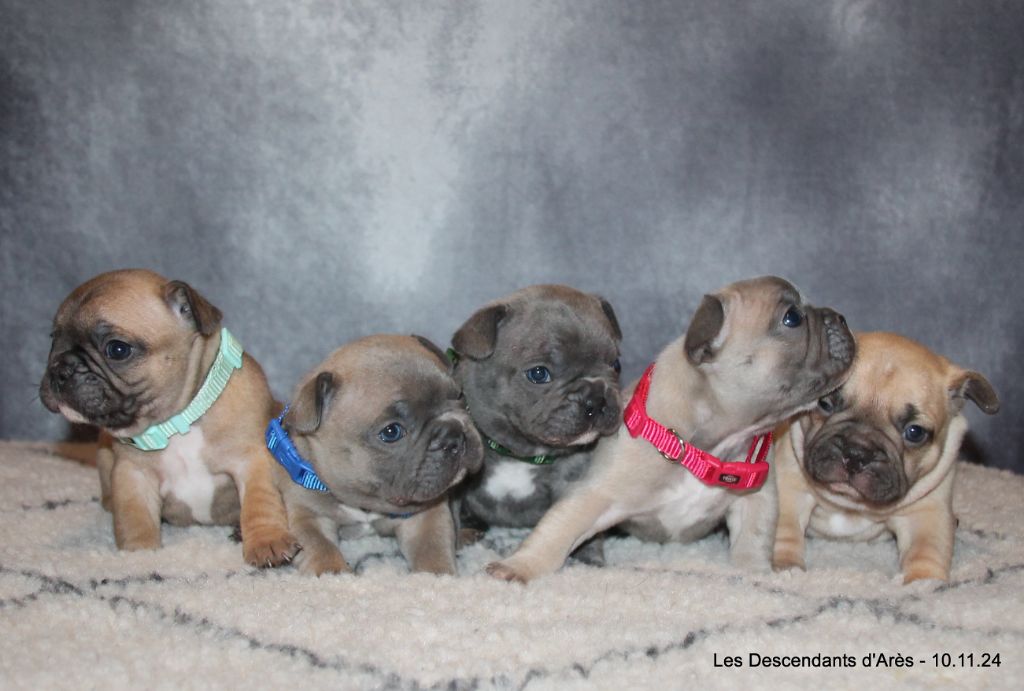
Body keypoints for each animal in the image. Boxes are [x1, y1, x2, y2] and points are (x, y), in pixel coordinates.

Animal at [39, 270, 296, 569]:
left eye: (117, 349)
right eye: (53, 339)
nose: (60, 369)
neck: (178, 420)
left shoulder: (251, 461)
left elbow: (260, 502)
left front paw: (267, 541)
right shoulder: (133, 474)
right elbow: (134, 516)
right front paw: (139, 554)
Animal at [268, 331, 483, 577]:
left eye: (460, 396)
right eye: (391, 432)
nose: (453, 433)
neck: (367, 502)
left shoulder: (427, 516)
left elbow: (432, 549)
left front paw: (436, 576)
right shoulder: (307, 515)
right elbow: (321, 547)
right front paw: (333, 572)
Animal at [487, 276, 856, 585]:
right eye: (792, 318)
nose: (840, 316)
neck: (703, 447)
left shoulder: (756, 497)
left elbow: (754, 537)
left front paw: (756, 573)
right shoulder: (595, 495)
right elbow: (556, 531)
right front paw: (519, 566)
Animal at [770, 331, 995, 581]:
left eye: (915, 432)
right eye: (825, 403)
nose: (856, 453)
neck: (851, 503)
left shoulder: (926, 512)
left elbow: (926, 551)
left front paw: (923, 582)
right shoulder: (790, 490)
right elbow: (784, 532)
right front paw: (787, 568)